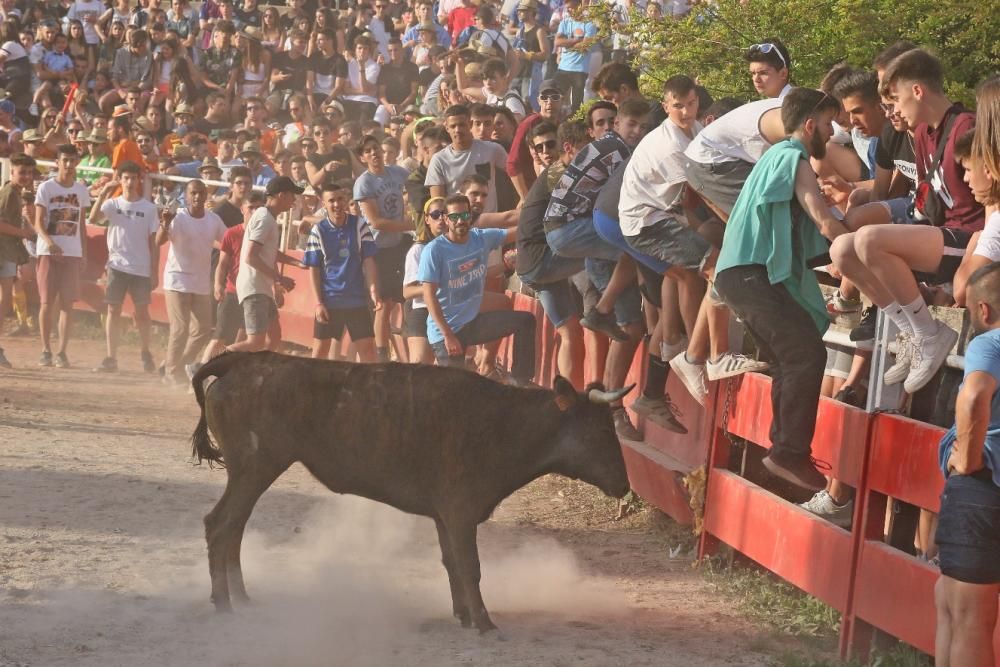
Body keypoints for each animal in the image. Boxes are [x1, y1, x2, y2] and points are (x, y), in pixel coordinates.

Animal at [188, 352, 632, 636]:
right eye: (600, 430)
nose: (625, 484)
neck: (504, 422)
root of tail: (242, 360)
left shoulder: (444, 516)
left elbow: (451, 563)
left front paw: (463, 615)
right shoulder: (460, 511)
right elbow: (469, 565)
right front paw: (484, 622)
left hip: (252, 473)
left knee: (235, 527)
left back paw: (242, 596)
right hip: (255, 467)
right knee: (220, 524)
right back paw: (223, 602)